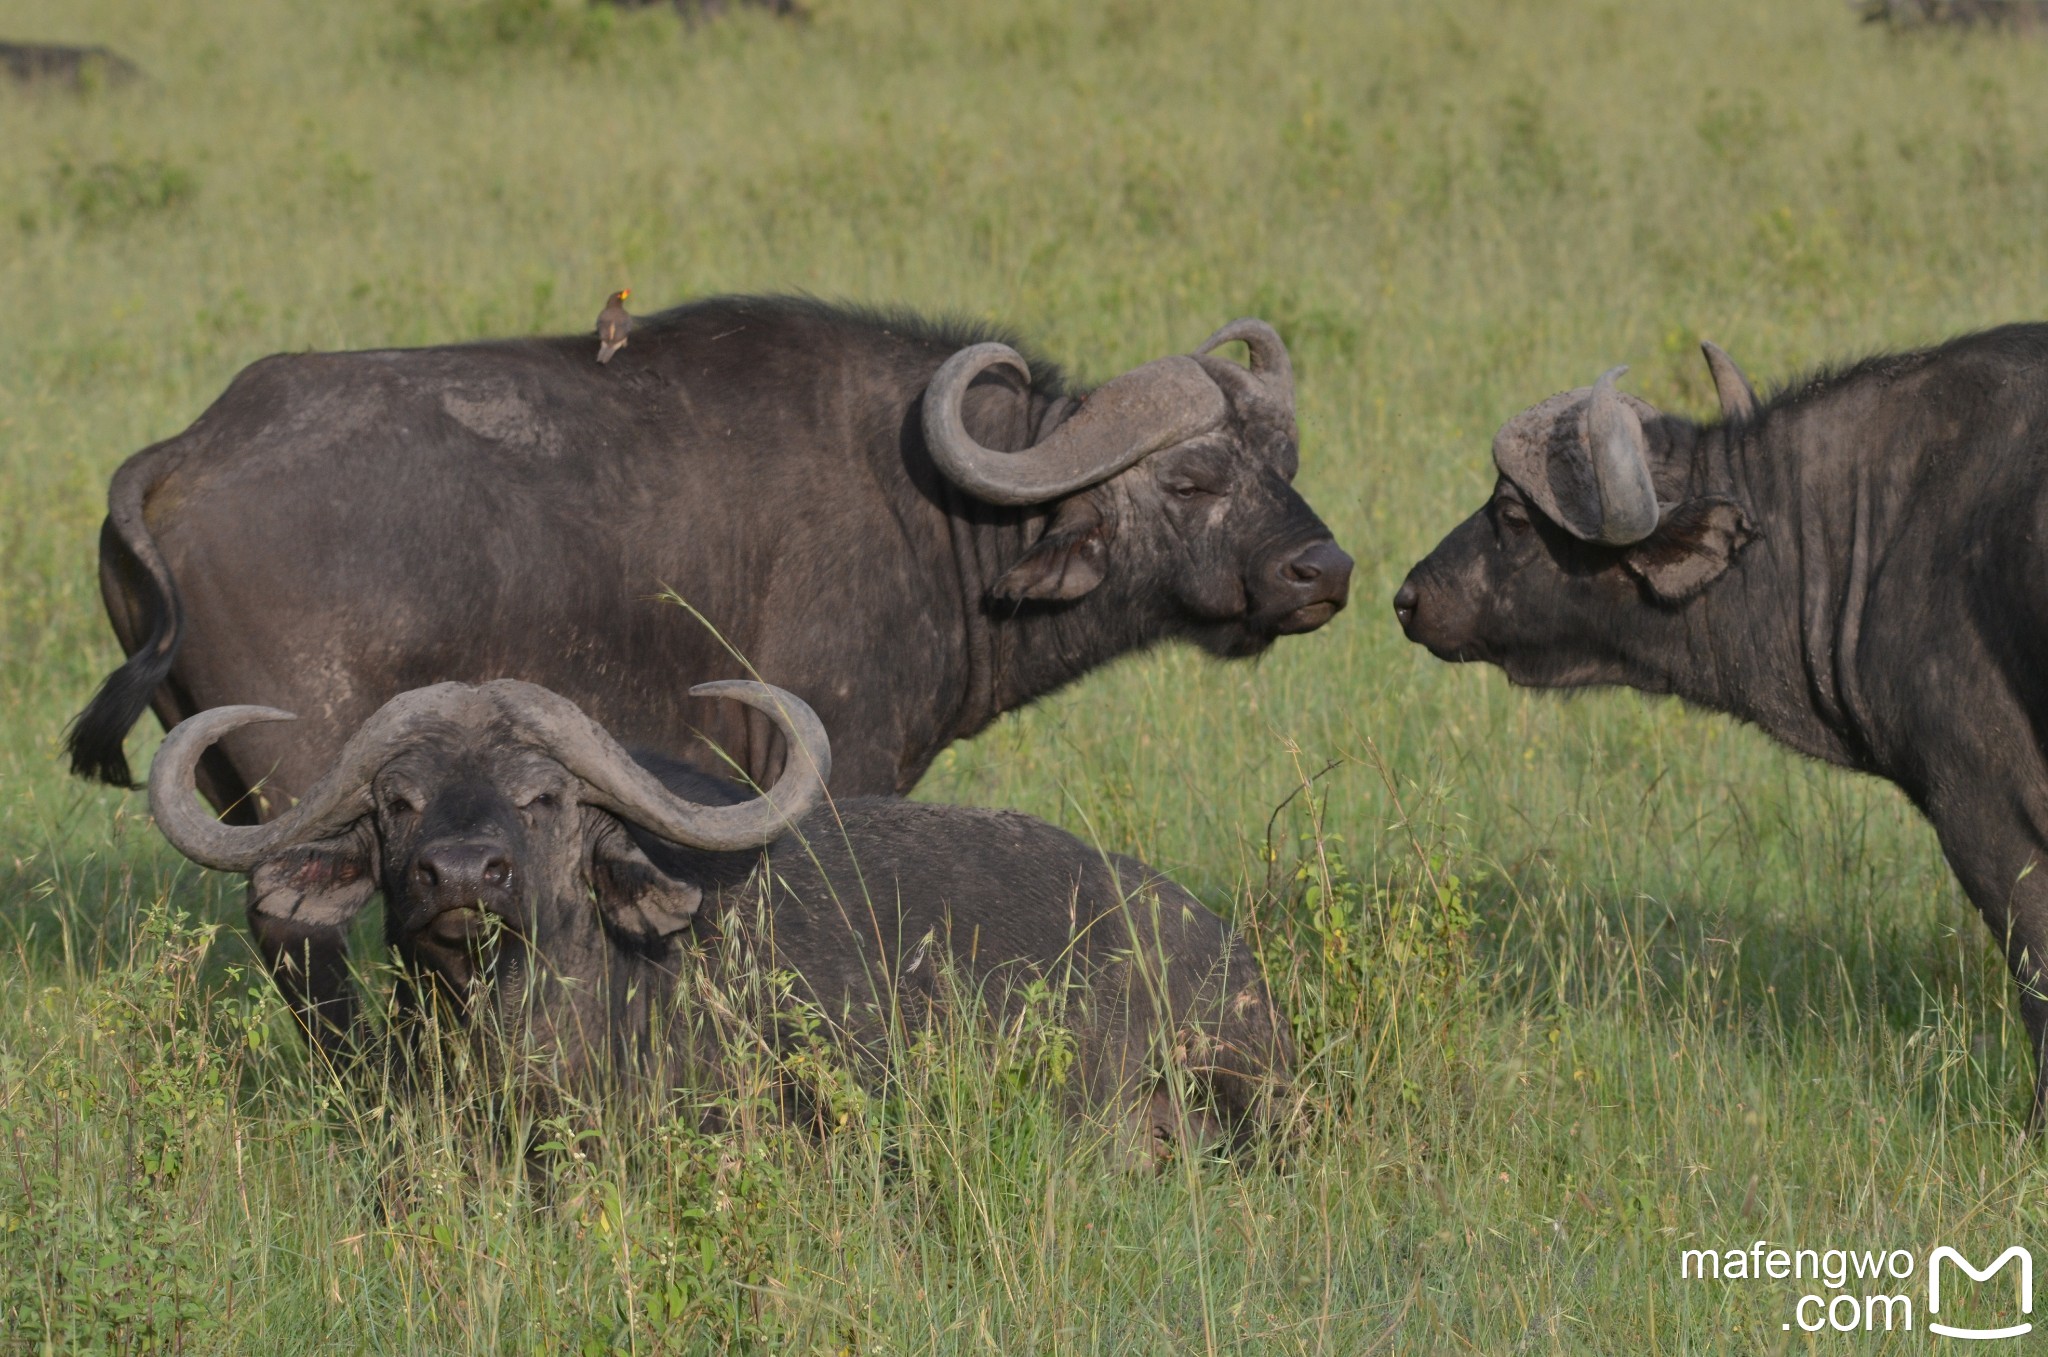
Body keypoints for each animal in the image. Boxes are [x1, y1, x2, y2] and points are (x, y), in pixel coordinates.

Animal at [64, 294, 1351, 818]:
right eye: (1191, 479)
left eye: (1279, 459)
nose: (1323, 573)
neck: (937, 511)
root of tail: (188, 449)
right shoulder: (838, 762)